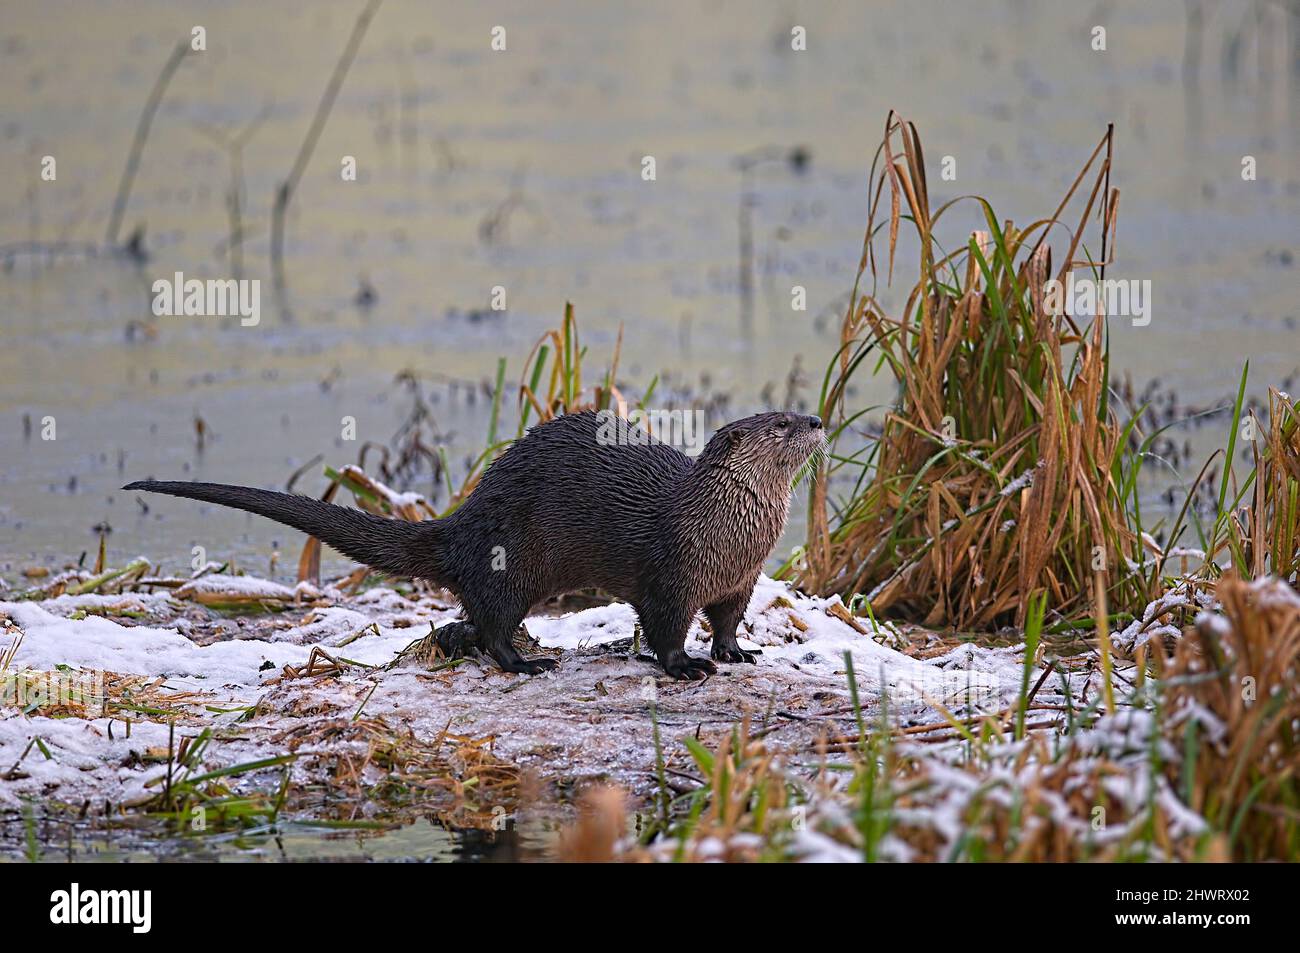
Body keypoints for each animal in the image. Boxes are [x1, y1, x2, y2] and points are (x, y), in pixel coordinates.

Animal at [124, 410, 824, 679]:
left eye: (796, 412)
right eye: (783, 424)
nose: (818, 419)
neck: (725, 531)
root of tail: (460, 523)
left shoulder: (740, 578)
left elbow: (729, 618)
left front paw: (735, 652)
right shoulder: (670, 574)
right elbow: (664, 627)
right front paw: (686, 665)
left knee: (470, 619)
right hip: (509, 561)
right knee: (491, 623)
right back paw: (523, 662)